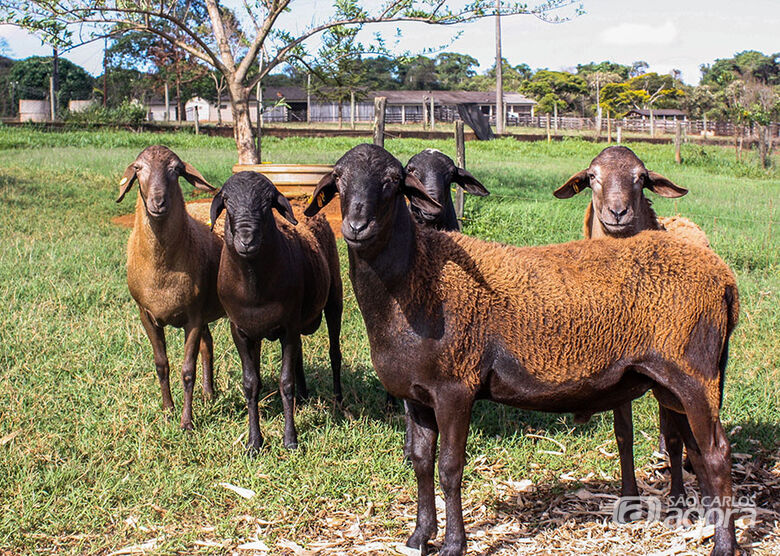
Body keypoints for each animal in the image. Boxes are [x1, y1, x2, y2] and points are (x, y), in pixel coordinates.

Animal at [117, 144, 224, 430]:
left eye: (176, 169)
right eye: (138, 168)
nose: (158, 202)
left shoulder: (193, 317)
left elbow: (187, 371)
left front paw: (187, 422)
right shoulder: (146, 314)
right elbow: (161, 364)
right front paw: (168, 410)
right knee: (208, 344)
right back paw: (209, 393)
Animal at [210, 170, 342, 452]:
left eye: (267, 204)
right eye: (227, 202)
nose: (246, 240)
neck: (254, 287)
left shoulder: (287, 328)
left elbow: (285, 382)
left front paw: (290, 440)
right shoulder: (241, 331)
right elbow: (251, 384)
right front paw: (253, 443)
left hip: (334, 297)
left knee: (334, 353)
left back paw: (338, 399)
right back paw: (303, 398)